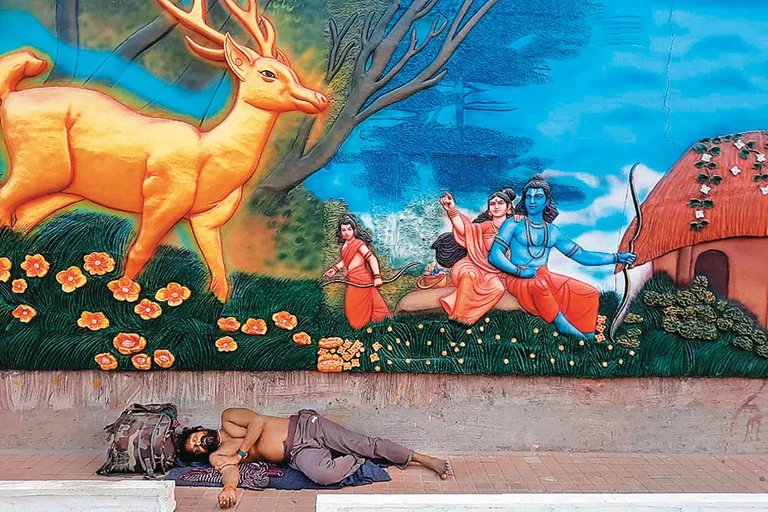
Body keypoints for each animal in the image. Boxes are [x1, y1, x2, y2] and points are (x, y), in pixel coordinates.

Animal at [0, 0, 328, 302]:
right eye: (268, 73)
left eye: (292, 71)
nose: (320, 98)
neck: (209, 154)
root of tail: (11, 96)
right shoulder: (164, 197)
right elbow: (139, 252)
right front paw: (123, 298)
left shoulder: (208, 220)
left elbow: (220, 276)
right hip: (42, 163)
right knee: (7, 201)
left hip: (70, 186)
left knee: (25, 216)